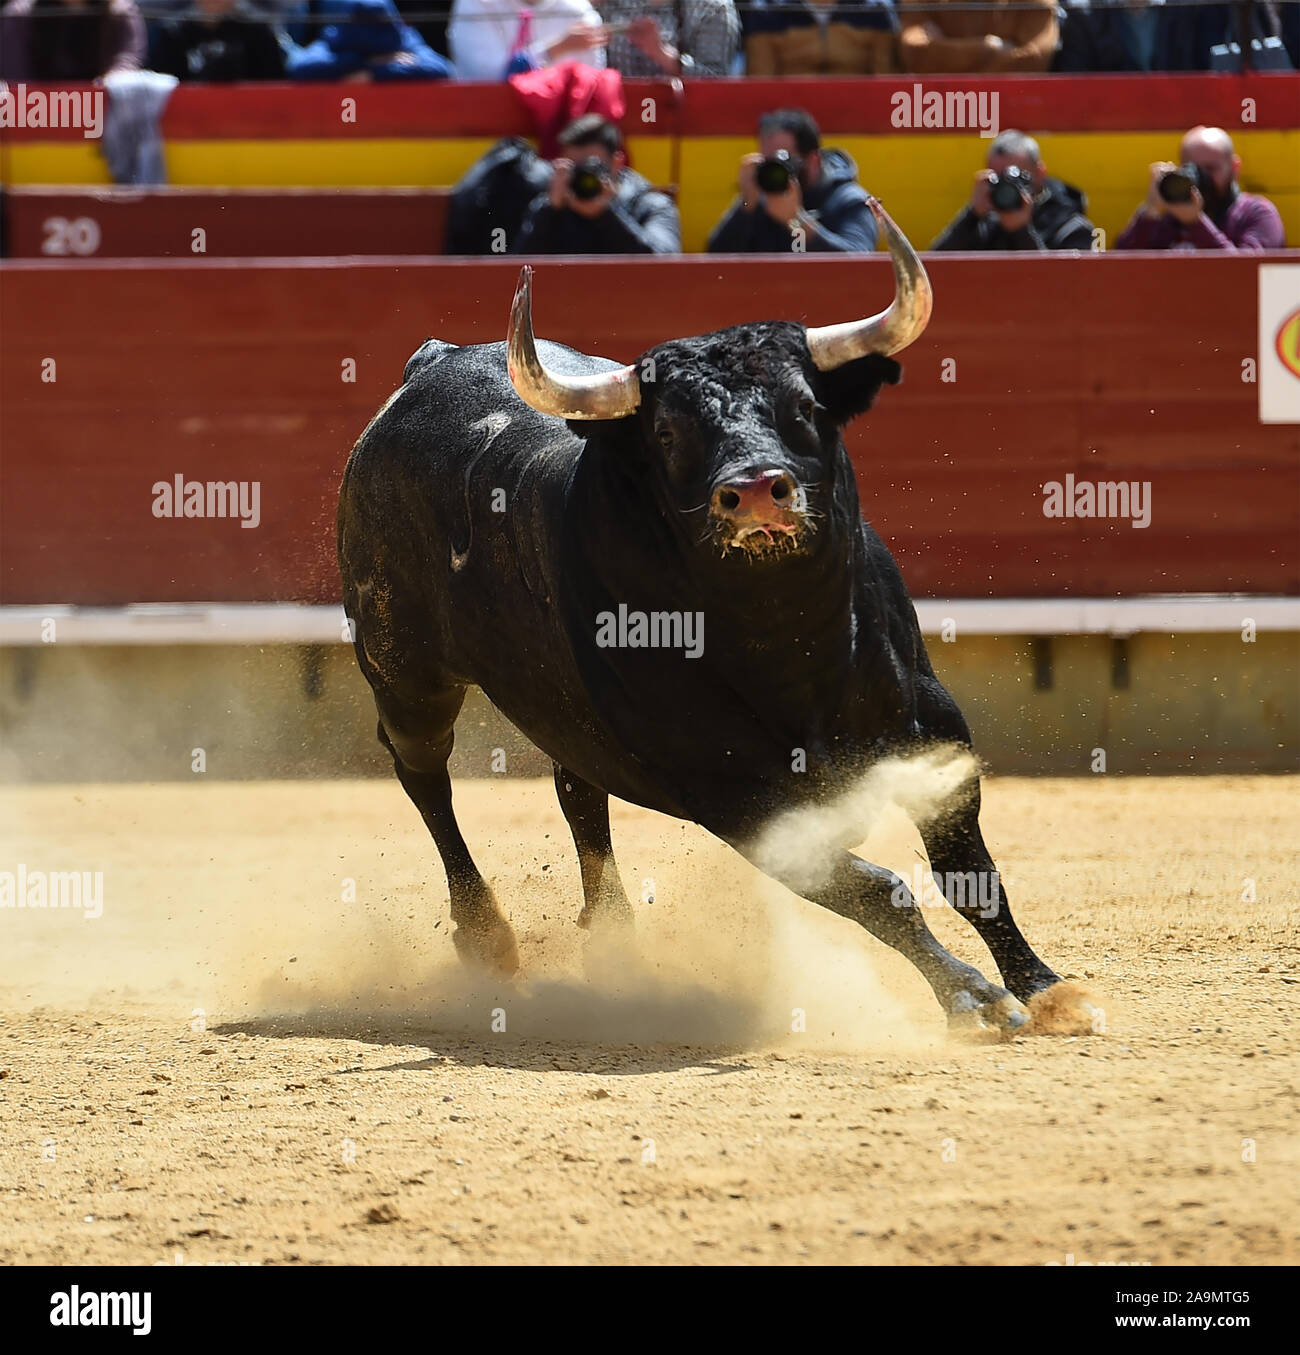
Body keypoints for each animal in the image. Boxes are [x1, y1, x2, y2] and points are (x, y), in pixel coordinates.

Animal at [338, 200, 1085, 1037]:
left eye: (806, 408)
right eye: (668, 433)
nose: (756, 490)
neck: (788, 637)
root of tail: (427, 367)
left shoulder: (931, 728)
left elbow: (968, 869)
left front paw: (1046, 988)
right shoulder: (738, 799)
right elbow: (877, 890)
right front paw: (972, 996)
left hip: (559, 707)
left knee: (577, 789)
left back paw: (614, 941)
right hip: (405, 671)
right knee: (424, 774)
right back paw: (488, 935)